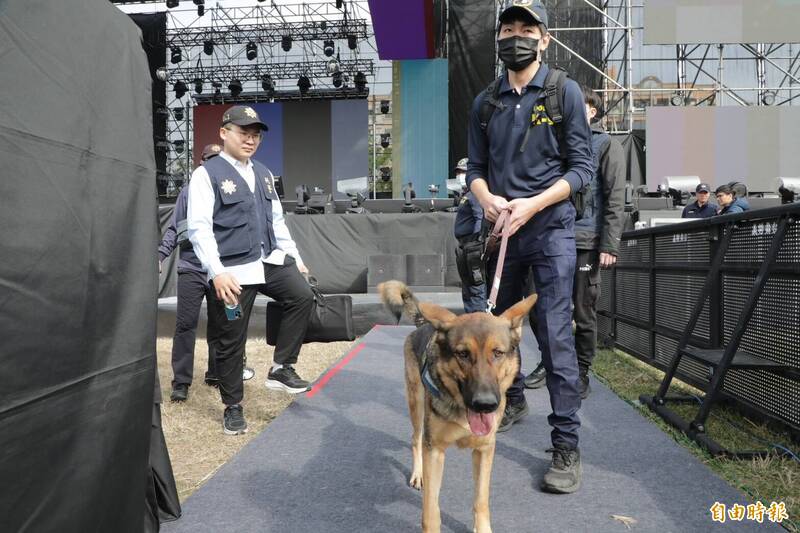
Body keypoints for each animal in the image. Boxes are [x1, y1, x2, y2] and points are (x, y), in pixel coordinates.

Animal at [376, 280, 536, 528]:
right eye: (463, 354)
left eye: (498, 353)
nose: (485, 404)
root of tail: (424, 323)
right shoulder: (434, 451)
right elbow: (431, 511)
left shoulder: (484, 450)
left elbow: (481, 500)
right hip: (416, 405)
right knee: (415, 439)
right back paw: (418, 473)